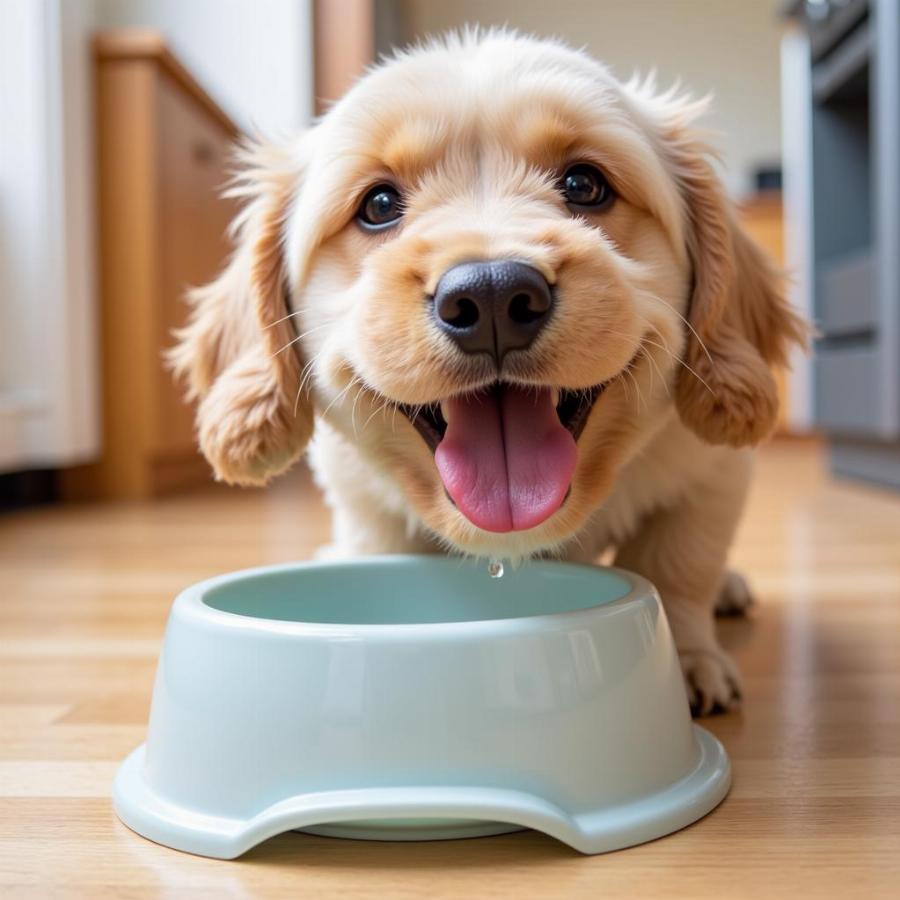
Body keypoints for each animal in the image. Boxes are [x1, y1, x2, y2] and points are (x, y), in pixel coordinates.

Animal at [172, 31, 804, 712]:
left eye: (585, 184)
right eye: (379, 204)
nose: (494, 294)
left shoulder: (709, 476)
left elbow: (680, 565)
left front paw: (687, 660)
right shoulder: (365, 508)